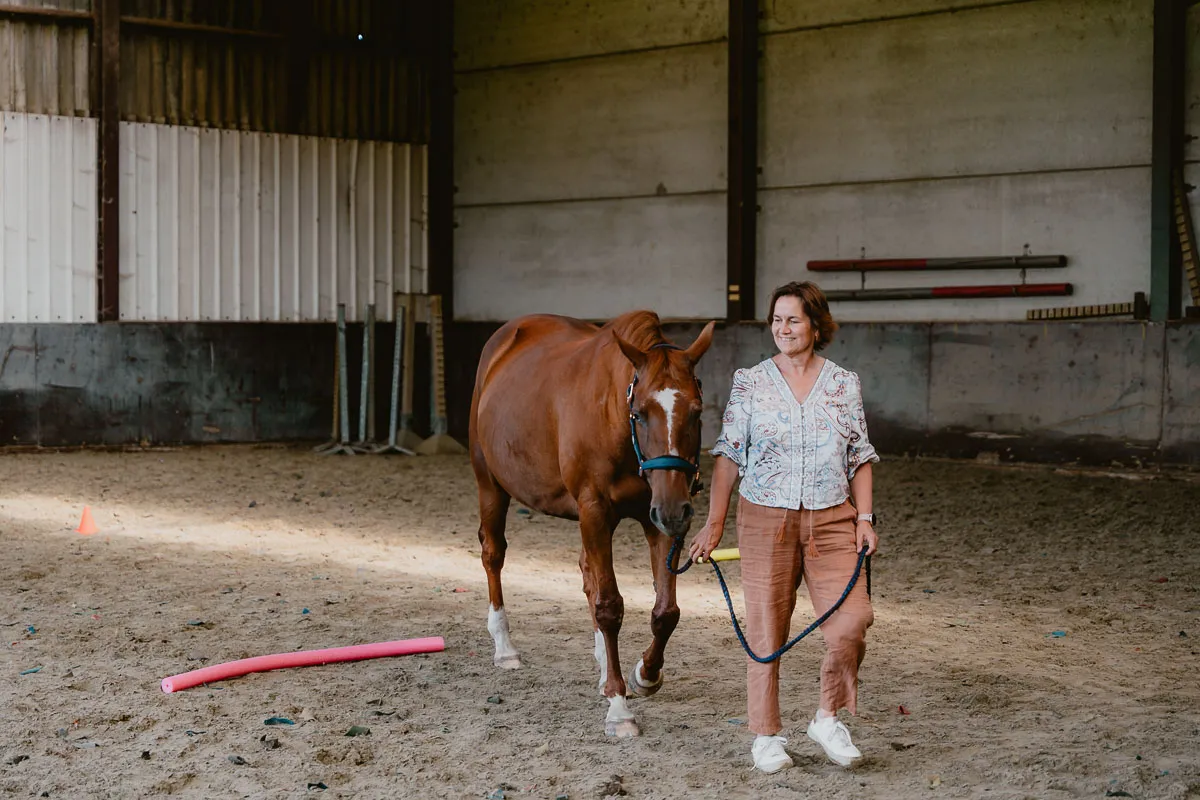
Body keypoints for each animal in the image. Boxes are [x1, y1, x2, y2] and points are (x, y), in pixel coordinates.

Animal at [469, 310, 716, 737]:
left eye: (697, 412)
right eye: (639, 414)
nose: (674, 511)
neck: (614, 419)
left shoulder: (654, 518)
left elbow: (665, 611)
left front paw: (645, 674)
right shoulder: (595, 509)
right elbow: (609, 607)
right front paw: (619, 707)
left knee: (588, 573)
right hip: (491, 485)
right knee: (493, 555)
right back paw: (505, 648)